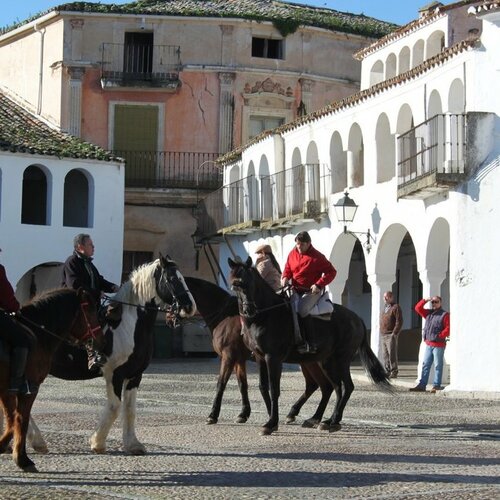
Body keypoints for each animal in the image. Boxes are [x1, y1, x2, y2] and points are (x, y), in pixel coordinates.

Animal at [0, 288, 102, 470]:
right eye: (90, 310)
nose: (99, 338)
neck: (39, 334)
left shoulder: (6, 390)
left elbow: (11, 419)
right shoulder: (29, 389)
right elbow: (21, 419)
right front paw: (22, 459)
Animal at [26, 256, 196, 456]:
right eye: (171, 279)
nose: (189, 307)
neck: (130, 325)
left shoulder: (134, 376)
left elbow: (130, 410)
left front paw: (133, 444)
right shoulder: (114, 374)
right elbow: (115, 407)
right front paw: (98, 442)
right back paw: (37, 441)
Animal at [229, 256, 392, 436]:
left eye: (251, 283)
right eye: (235, 285)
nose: (249, 310)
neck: (265, 316)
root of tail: (356, 318)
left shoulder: (273, 358)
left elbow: (274, 389)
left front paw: (271, 423)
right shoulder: (260, 357)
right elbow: (263, 387)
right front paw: (271, 418)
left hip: (341, 360)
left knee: (346, 387)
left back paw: (332, 421)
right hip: (326, 362)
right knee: (335, 387)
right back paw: (323, 420)